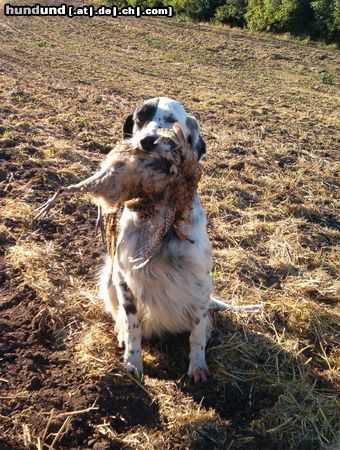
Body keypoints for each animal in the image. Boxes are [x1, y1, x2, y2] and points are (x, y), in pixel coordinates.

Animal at [101, 96, 258, 382]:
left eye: (171, 120)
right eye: (140, 118)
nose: (147, 141)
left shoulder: (200, 283)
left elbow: (197, 333)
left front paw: (197, 365)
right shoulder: (124, 277)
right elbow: (132, 326)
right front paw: (132, 362)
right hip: (108, 273)